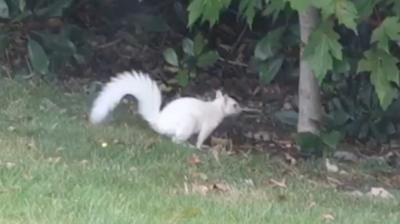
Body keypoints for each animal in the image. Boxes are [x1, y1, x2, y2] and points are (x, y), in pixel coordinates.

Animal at [89, 70, 242, 149]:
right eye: (234, 105)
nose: (241, 109)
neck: (216, 107)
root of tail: (158, 122)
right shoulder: (208, 125)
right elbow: (202, 137)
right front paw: (200, 147)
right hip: (187, 125)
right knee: (175, 140)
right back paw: (186, 146)